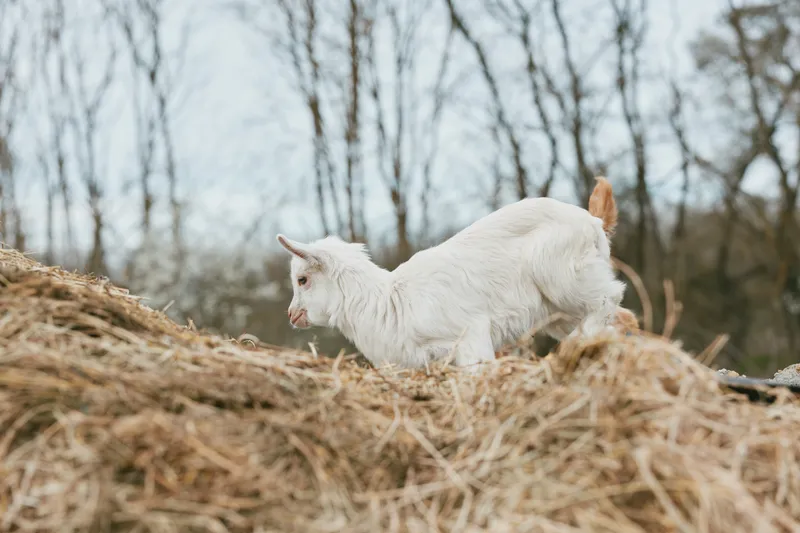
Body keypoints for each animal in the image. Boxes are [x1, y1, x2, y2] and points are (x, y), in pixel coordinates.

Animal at [277, 179, 628, 372]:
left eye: (302, 279)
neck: (387, 303)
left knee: (611, 298)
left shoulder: (471, 335)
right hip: (558, 310)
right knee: (620, 319)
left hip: (565, 278)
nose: (291, 315)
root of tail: (594, 223)